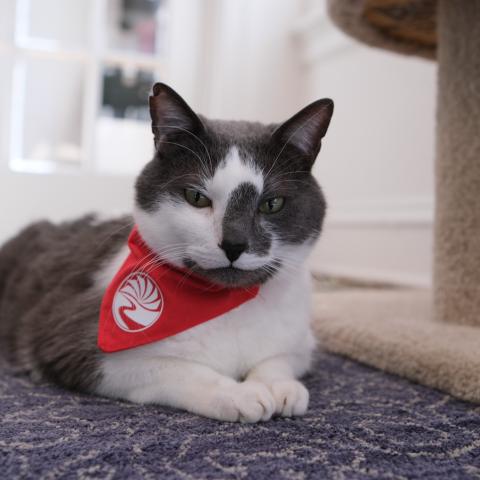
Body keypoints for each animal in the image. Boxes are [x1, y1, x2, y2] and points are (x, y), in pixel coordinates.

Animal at [0, 84, 332, 422]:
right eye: (196, 197)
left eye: (272, 204)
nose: (234, 244)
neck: (228, 306)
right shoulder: (75, 345)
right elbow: (180, 370)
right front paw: (239, 393)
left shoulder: (301, 342)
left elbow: (279, 358)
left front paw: (281, 387)